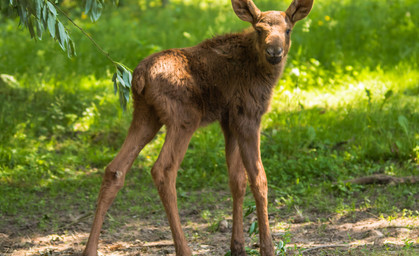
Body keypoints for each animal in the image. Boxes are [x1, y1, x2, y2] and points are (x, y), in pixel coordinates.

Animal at [83, 0, 314, 256]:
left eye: (288, 30)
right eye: (259, 29)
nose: (274, 52)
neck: (262, 72)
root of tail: (139, 78)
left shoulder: (229, 120)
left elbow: (237, 180)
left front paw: (238, 246)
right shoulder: (248, 116)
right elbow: (259, 179)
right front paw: (267, 247)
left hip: (145, 116)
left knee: (115, 169)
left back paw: (90, 249)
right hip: (184, 118)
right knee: (163, 170)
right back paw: (184, 249)